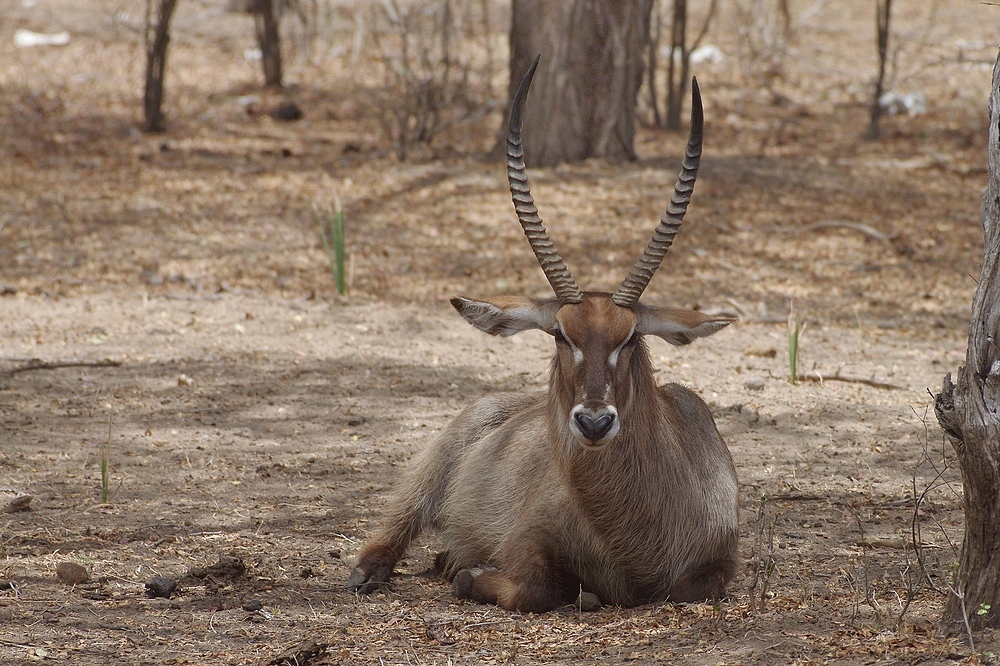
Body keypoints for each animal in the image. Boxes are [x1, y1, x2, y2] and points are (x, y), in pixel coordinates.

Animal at [348, 58, 740, 612]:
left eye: (630, 337)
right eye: (559, 334)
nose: (594, 422)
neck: (636, 539)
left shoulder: (721, 563)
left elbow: (689, 588)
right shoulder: (526, 539)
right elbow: (537, 587)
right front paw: (471, 576)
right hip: (429, 474)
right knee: (394, 528)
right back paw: (374, 572)